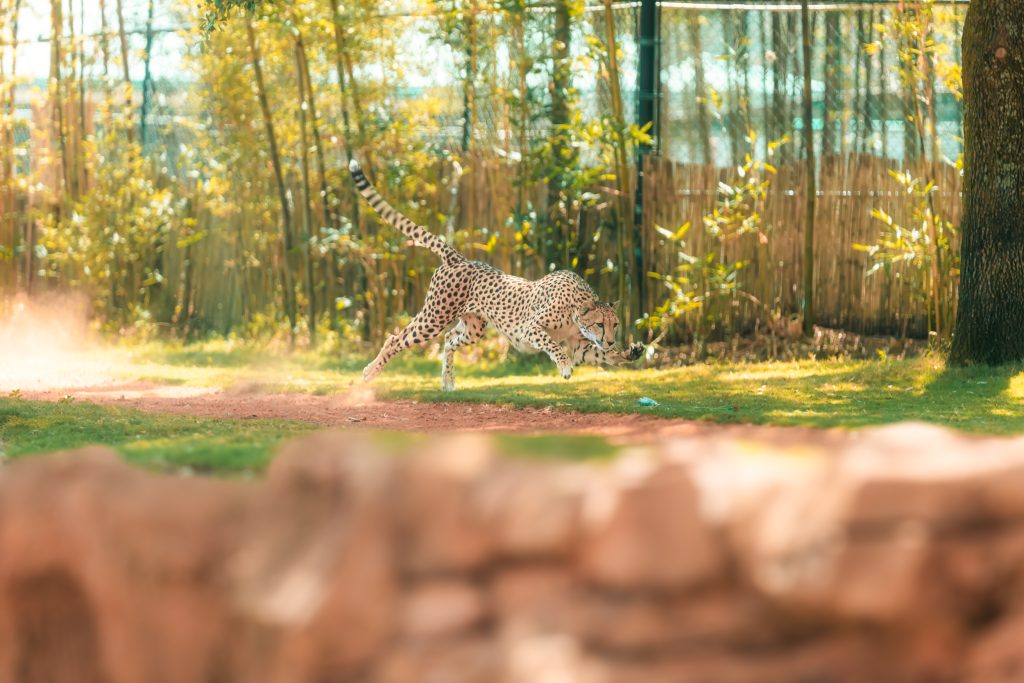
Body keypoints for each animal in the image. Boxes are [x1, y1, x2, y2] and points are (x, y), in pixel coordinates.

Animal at [348, 156, 643, 389]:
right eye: (599, 324)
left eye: (615, 324)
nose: (610, 340)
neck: (576, 309)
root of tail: (459, 258)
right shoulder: (530, 329)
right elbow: (553, 344)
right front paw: (564, 365)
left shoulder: (582, 347)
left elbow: (599, 355)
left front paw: (628, 353)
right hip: (434, 316)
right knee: (395, 338)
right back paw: (370, 372)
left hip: (474, 328)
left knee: (449, 339)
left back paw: (448, 381)